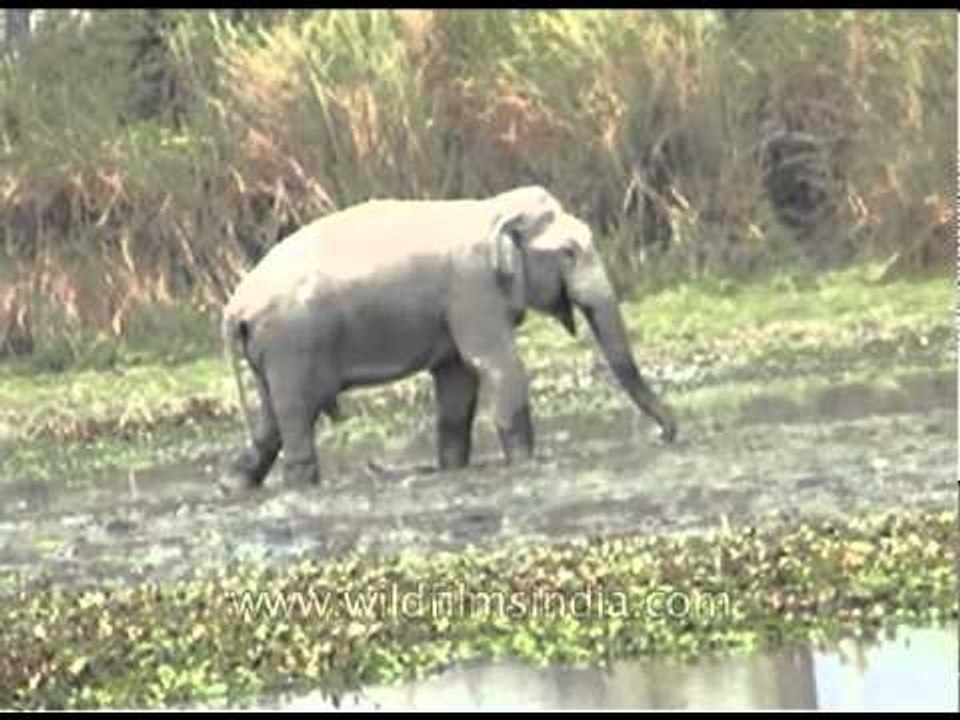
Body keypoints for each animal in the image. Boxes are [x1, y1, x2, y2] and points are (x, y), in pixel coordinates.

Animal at [219, 186, 677, 492]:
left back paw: (235, 486)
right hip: (291, 345)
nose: (667, 436)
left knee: (271, 421)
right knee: (295, 413)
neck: (493, 208)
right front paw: (524, 463)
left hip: (272, 354)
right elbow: (498, 367)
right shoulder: (472, 289)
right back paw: (301, 485)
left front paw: (453, 468)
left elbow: (457, 380)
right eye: (568, 251)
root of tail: (235, 306)